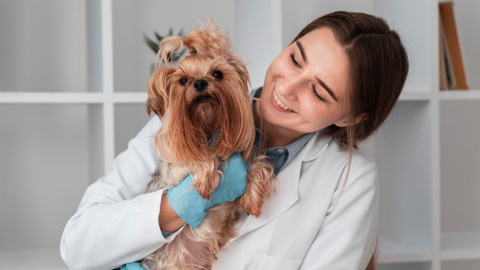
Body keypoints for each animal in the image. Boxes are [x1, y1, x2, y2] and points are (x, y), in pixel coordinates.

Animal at [140, 17, 274, 268]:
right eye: (183, 81)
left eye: (218, 74)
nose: (200, 83)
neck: (208, 127)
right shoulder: (175, 169)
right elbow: (200, 157)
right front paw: (205, 182)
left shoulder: (244, 155)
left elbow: (259, 164)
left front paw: (252, 200)